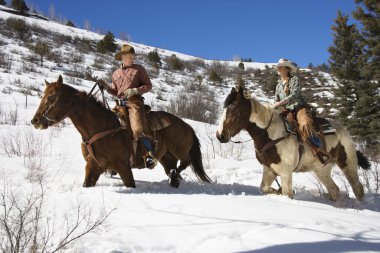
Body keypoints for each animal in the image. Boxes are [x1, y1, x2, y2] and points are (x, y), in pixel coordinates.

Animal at [31, 75, 212, 188]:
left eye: (51, 97)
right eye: (43, 95)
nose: (35, 121)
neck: (101, 128)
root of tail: (186, 125)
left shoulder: (123, 167)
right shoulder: (93, 166)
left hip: (179, 150)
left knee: (186, 161)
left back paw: (175, 176)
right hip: (166, 157)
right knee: (173, 167)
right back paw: (173, 179)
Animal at [217, 85, 372, 202]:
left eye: (234, 109)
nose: (220, 135)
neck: (271, 135)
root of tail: (343, 130)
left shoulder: (285, 172)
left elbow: (287, 193)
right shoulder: (269, 169)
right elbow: (264, 188)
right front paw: (277, 191)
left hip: (348, 163)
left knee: (358, 188)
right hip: (322, 170)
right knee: (334, 190)